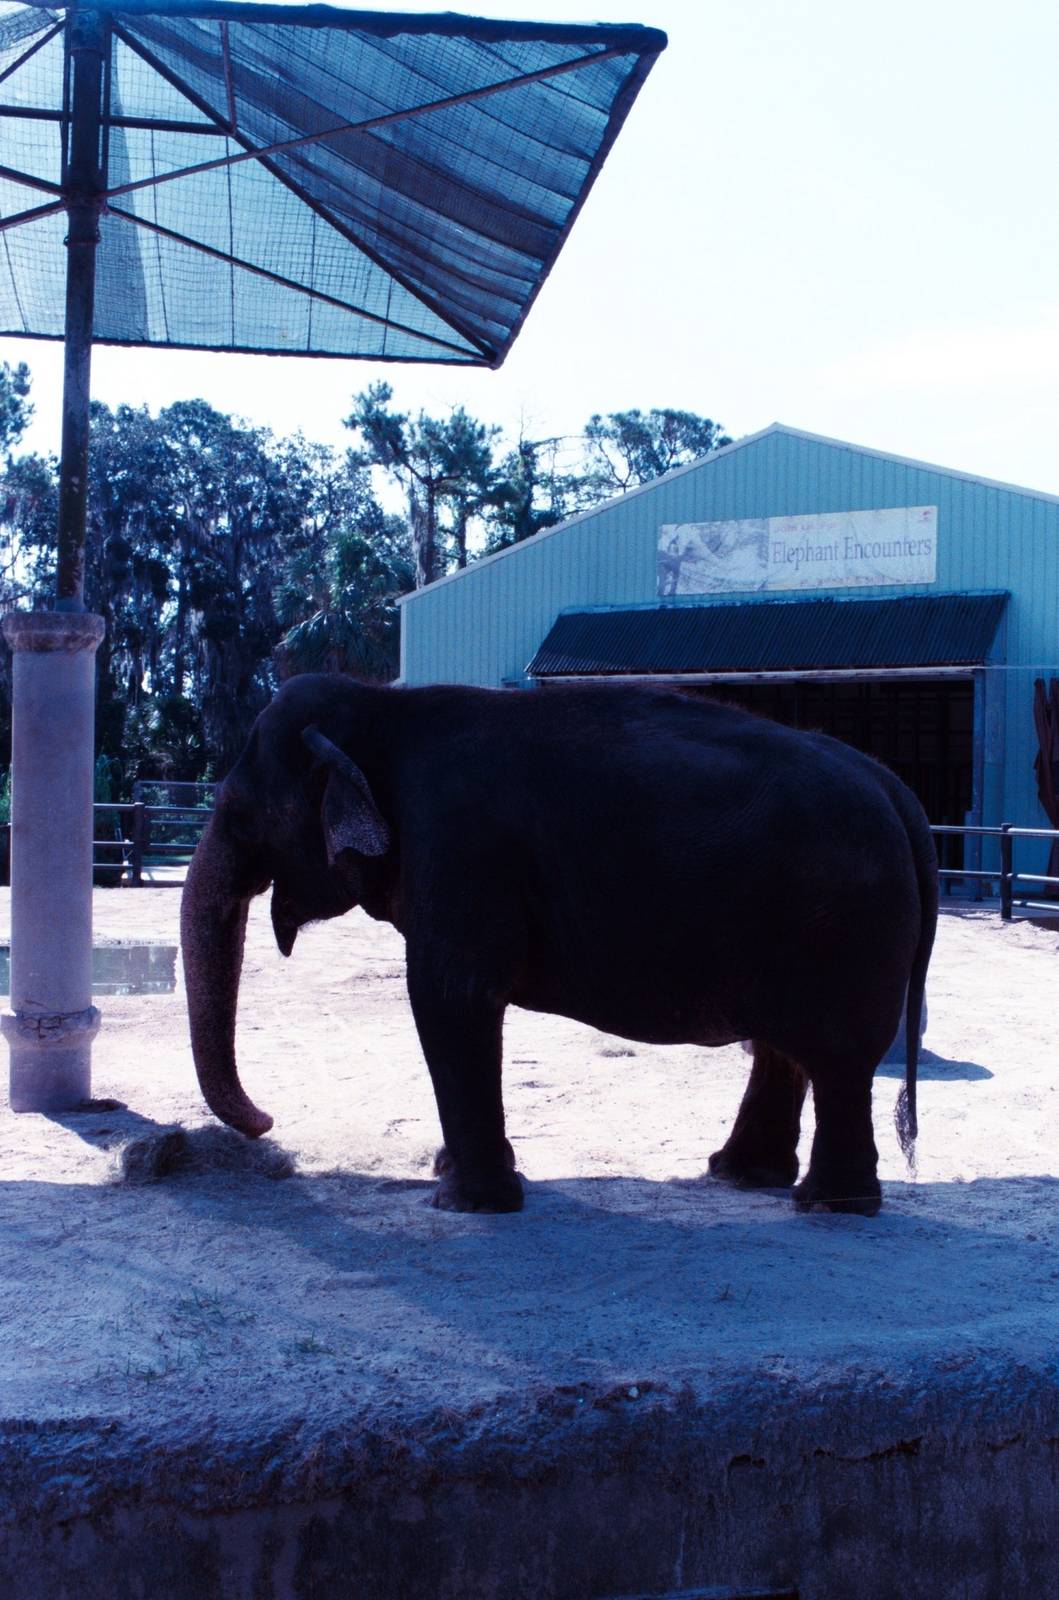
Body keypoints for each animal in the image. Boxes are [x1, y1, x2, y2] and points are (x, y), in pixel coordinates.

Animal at [181, 674, 936, 1217]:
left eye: (240, 816)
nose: (268, 1121)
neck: (384, 705)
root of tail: (895, 790)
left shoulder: (460, 851)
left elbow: (449, 994)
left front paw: (465, 1202)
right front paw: (450, 1173)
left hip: (845, 928)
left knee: (836, 1059)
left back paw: (827, 1205)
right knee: (786, 1049)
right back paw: (742, 1177)